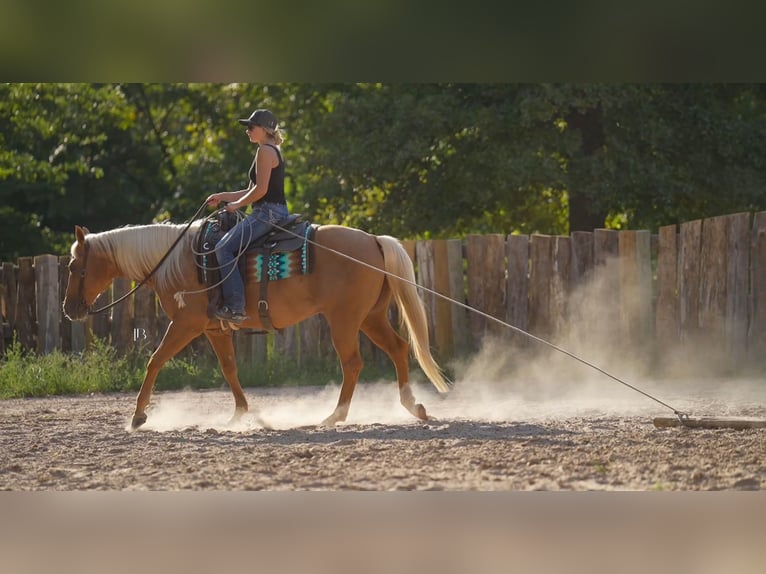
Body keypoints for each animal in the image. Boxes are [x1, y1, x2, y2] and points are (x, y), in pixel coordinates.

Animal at [62, 219, 450, 429]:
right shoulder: (213, 329)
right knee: (399, 348)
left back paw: (334, 417)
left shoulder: (186, 323)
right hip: (371, 317)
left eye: (73, 267)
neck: (177, 260)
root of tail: (373, 240)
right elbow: (229, 369)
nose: (69, 309)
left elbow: (155, 360)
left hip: (345, 319)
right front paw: (241, 415)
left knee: (353, 363)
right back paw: (412, 406)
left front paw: (138, 417)